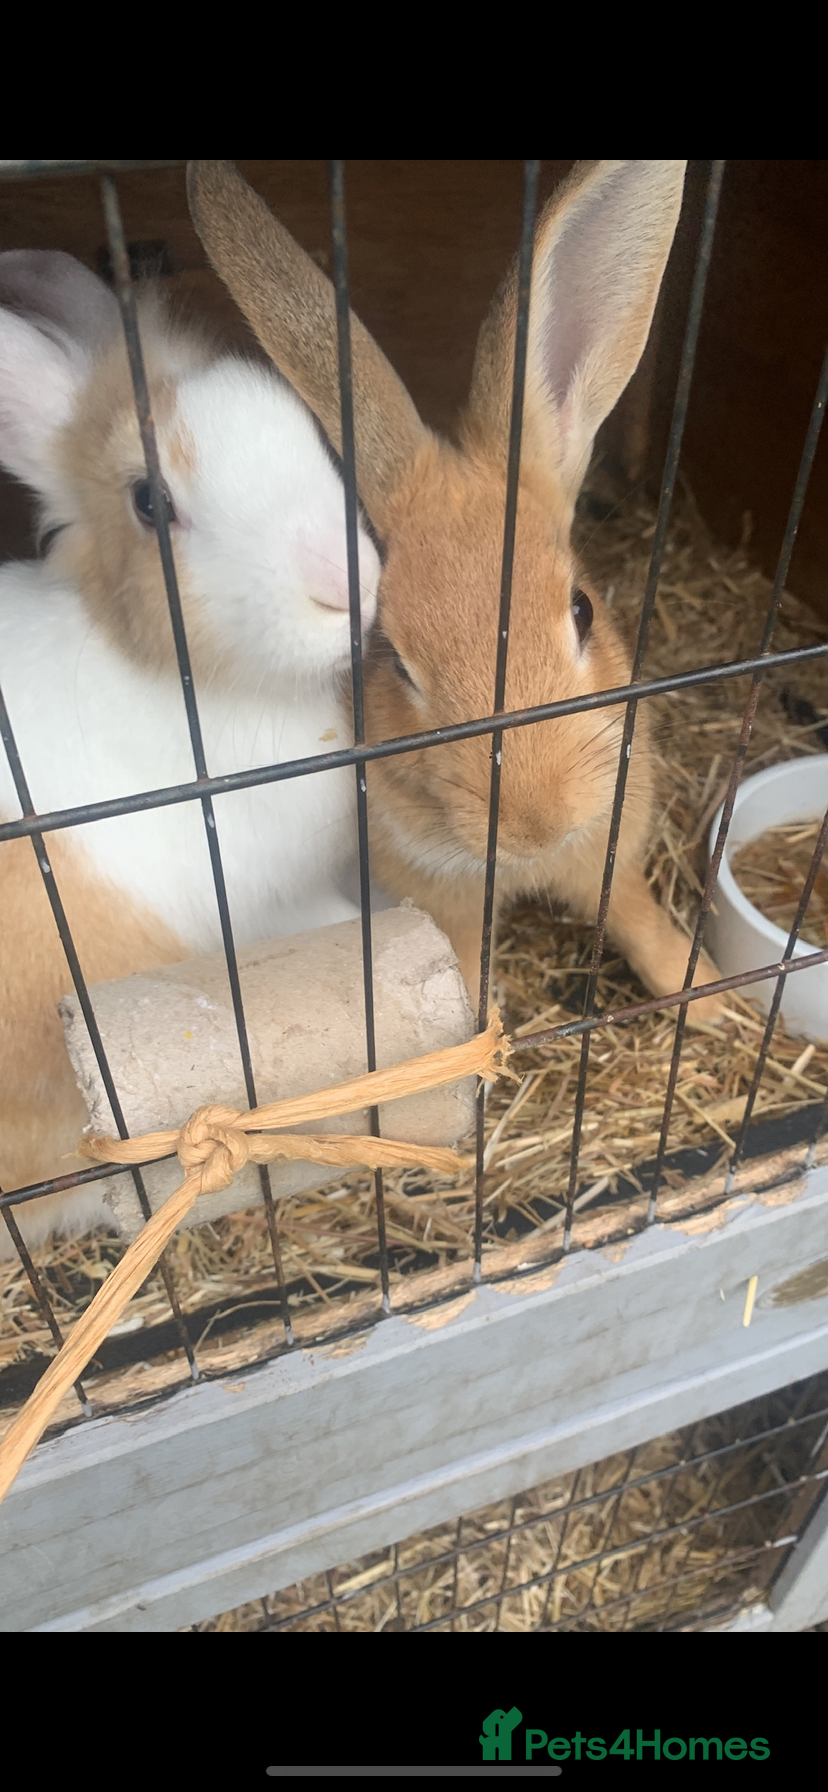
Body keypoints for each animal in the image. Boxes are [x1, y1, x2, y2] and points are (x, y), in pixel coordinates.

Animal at [187, 160, 726, 1025]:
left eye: (582, 610)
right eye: (396, 662)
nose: (536, 821)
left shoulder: (610, 843)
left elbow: (634, 913)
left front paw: (705, 998)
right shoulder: (440, 894)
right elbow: (468, 969)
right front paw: (478, 1044)